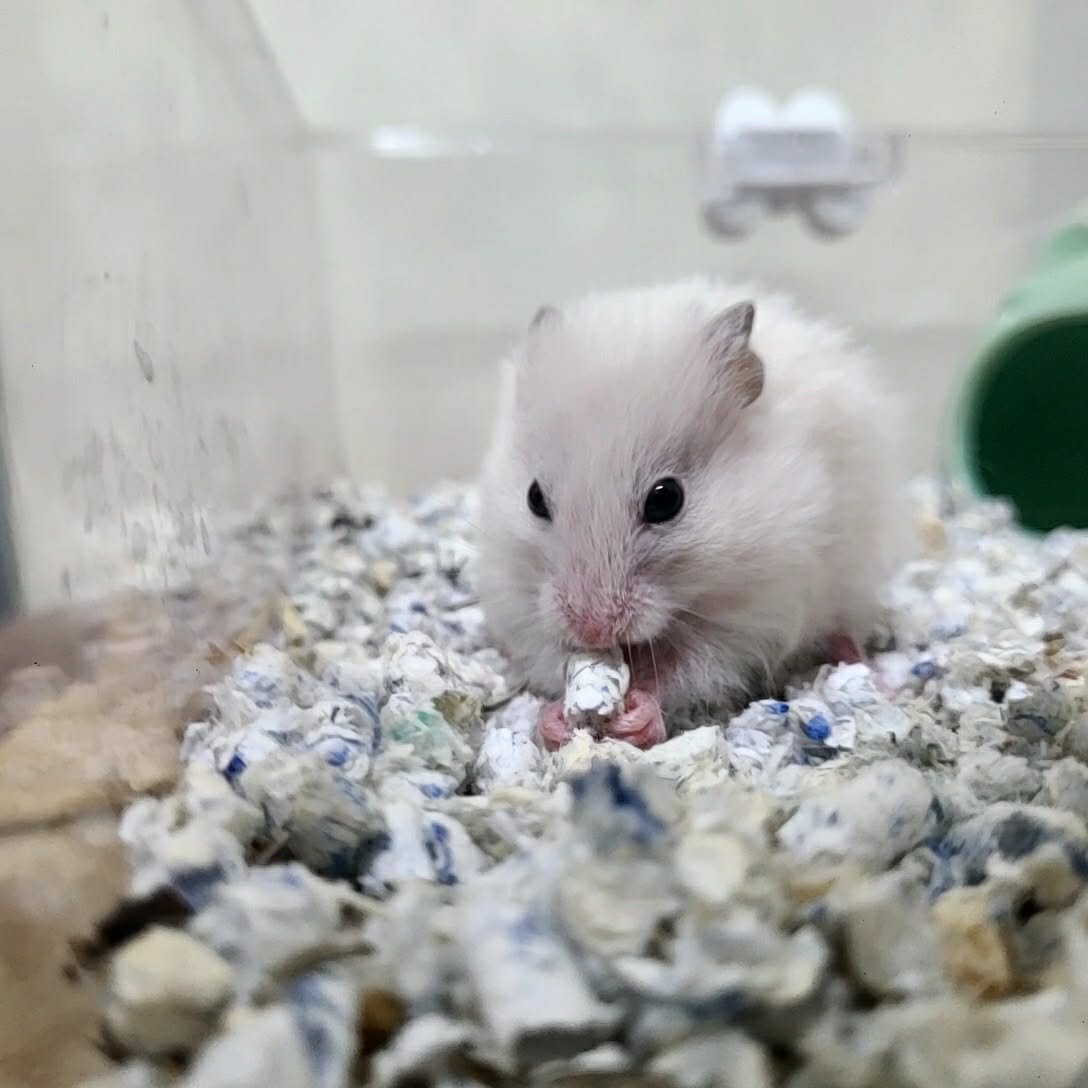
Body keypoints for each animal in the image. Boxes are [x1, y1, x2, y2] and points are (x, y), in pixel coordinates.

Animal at [476, 278, 904, 749]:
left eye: (666, 500)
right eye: (534, 498)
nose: (592, 630)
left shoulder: (755, 616)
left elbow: (688, 667)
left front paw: (638, 716)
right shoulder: (519, 601)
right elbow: (551, 655)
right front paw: (553, 722)